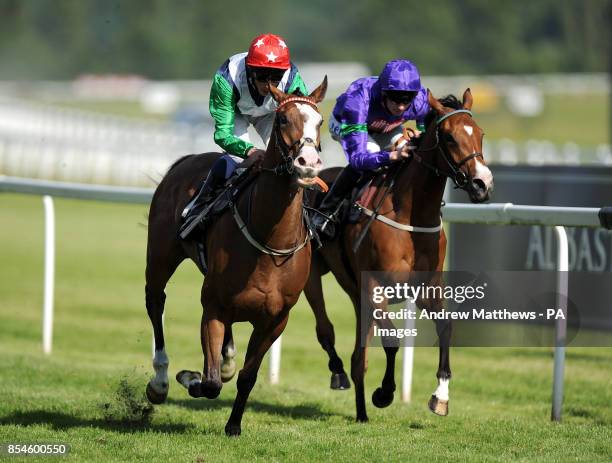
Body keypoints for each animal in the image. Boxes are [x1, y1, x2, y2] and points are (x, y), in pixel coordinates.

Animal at [143, 78, 328, 436]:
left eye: (321, 121)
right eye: (283, 119)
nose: (308, 162)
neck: (270, 238)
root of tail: (186, 160)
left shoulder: (275, 320)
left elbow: (247, 377)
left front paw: (233, 425)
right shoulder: (212, 307)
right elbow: (211, 382)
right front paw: (190, 377)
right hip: (161, 255)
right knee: (155, 301)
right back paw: (160, 381)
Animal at [304, 88, 492, 424]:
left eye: (480, 134)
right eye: (449, 137)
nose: (482, 183)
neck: (410, 217)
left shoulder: (426, 288)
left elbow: (446, 327)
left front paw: (440, 396)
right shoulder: (375, 287)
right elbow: (391, 340)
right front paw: (385, 392)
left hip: (354, 292)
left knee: (359, 357)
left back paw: (360, 411)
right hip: (312, 274)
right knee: (325, 329)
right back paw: (339, 374)